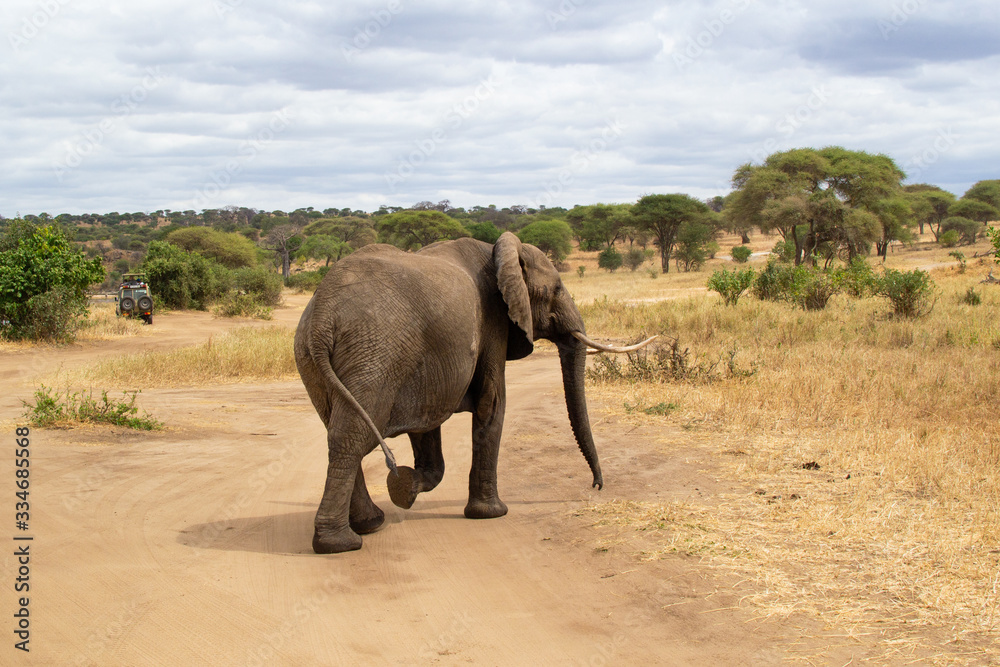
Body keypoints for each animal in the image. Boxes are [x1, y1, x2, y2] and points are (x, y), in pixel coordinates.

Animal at [294, 232, 653, 553]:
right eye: (557, 289)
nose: (596, 485)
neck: (503, 252)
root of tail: (323, 316)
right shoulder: (493, 322)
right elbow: (491, 404)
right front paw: (490, 514)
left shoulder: (430, 366)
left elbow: (427, 422)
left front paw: (406, 488)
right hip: (374, 354)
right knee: (351, 438)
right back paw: (340, 544)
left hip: (317, 361)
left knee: (338, 432)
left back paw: (369, 524)